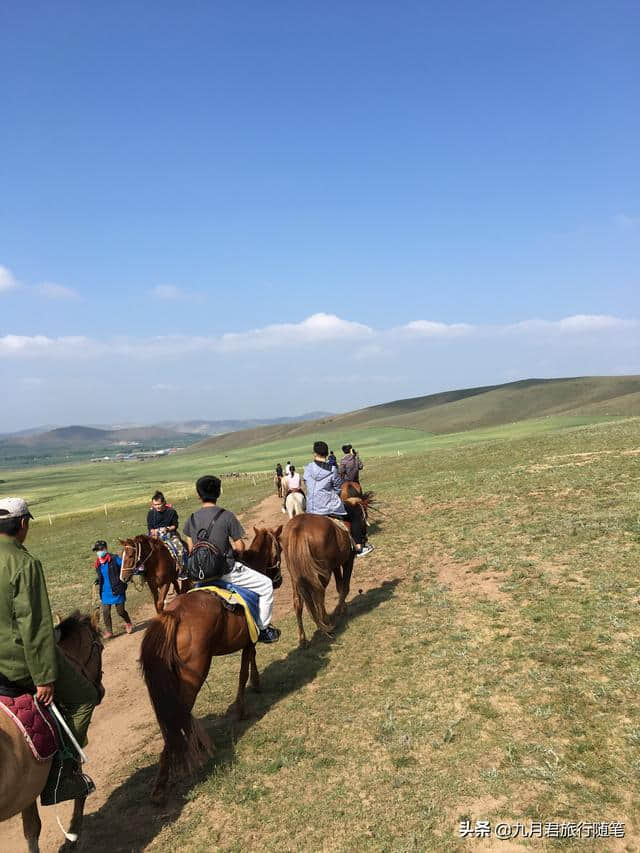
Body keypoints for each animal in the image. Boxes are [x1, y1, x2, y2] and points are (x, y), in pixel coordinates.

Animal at [139, 524, 282, 804]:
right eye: (279, 548)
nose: (278, 579)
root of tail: (173, 615)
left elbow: (250, 664)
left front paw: (256, 684)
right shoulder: (249, 640)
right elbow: (244, 669)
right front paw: (243, 706)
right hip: (194, 675)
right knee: (178, 717)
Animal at [282, 512, 358, 644]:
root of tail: (298, 528)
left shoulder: (335, 565)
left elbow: (339, 586)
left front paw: (342, 607)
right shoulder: (348, 560)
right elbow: (345, 586)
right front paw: (342, 610)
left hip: (295, 576)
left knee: (298, 601)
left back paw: (303, 639)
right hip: (322, 573)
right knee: (319, 596)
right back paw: (327, 623)